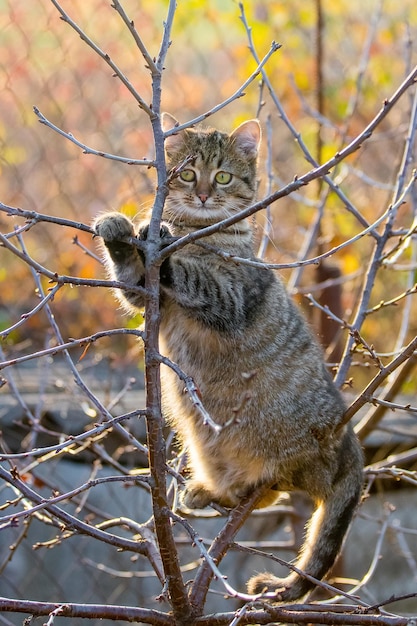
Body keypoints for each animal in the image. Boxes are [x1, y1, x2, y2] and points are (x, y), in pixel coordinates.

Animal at [92, 113, 362, 600]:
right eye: (186, 173)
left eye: (222, 176)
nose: (202, 193)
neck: (196, 234)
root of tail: (349, 446)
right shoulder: (144, 297)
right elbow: (131, 276)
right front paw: (120, 234)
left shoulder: (230, 296)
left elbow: (190, 275)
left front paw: (161, 246)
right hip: (205, 445)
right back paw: (206, 493)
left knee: (275, 490)